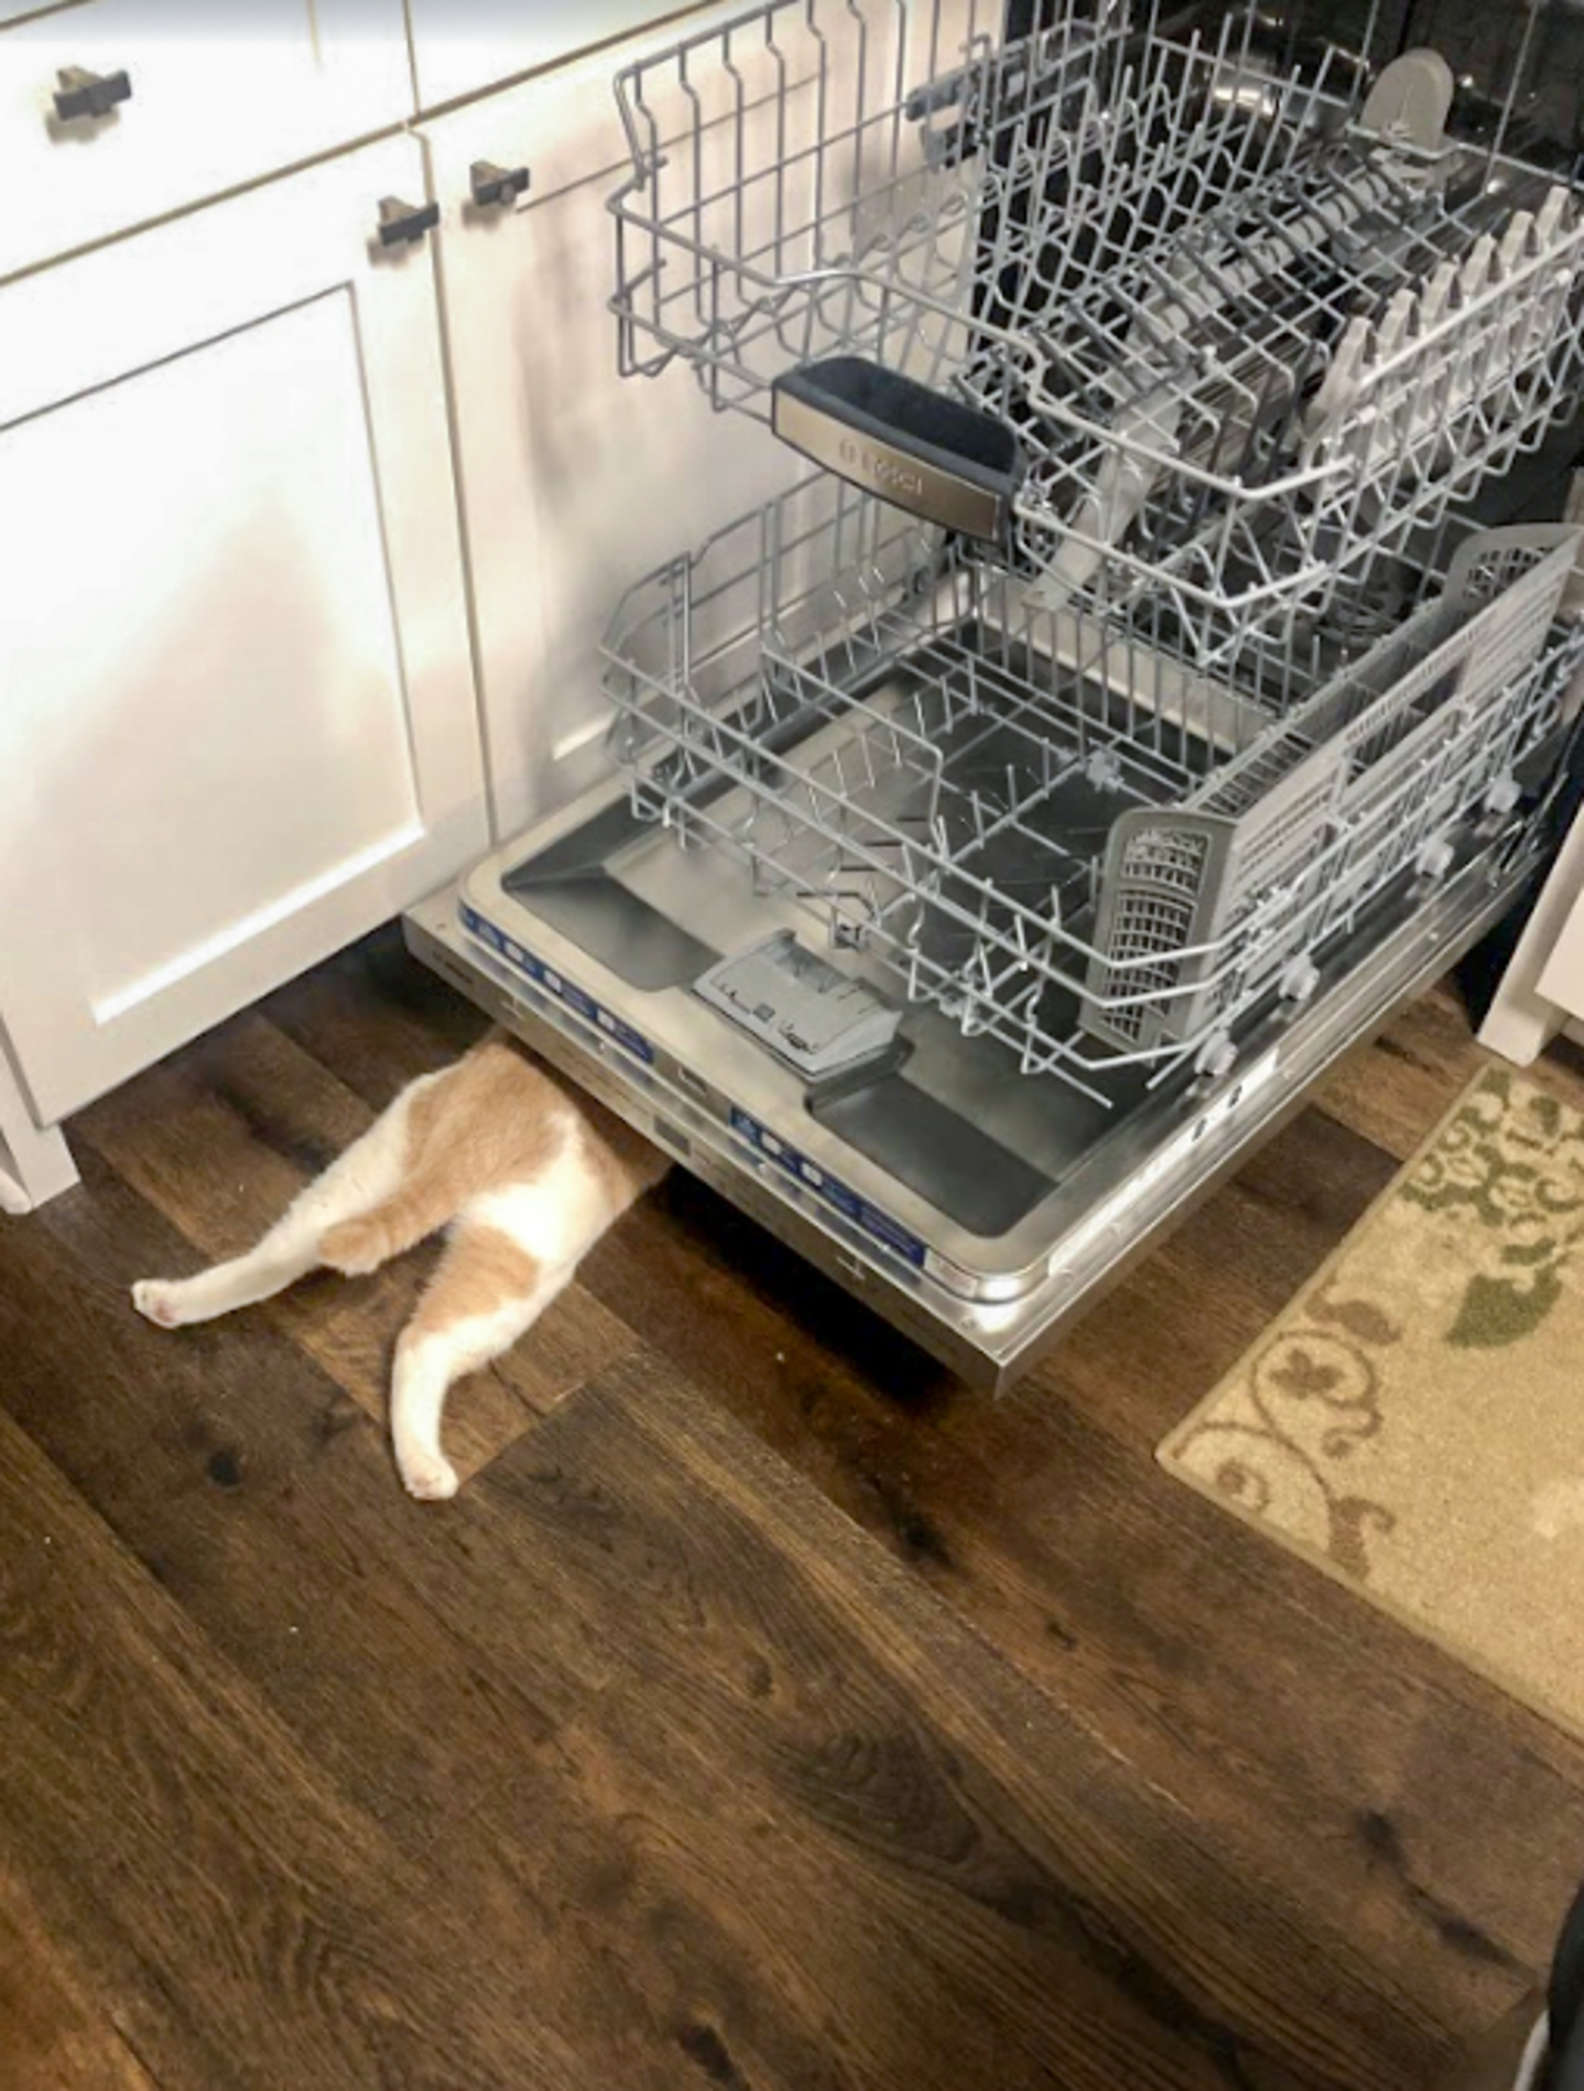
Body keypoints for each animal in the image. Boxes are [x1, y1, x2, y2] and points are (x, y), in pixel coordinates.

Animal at [126, 1032, 664, 1505]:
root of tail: (483, 1129)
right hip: (526, 1261)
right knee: (420, 1340)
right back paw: (425, 1468)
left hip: (365, 1172)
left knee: (274, 1259)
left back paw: (167, 1302)